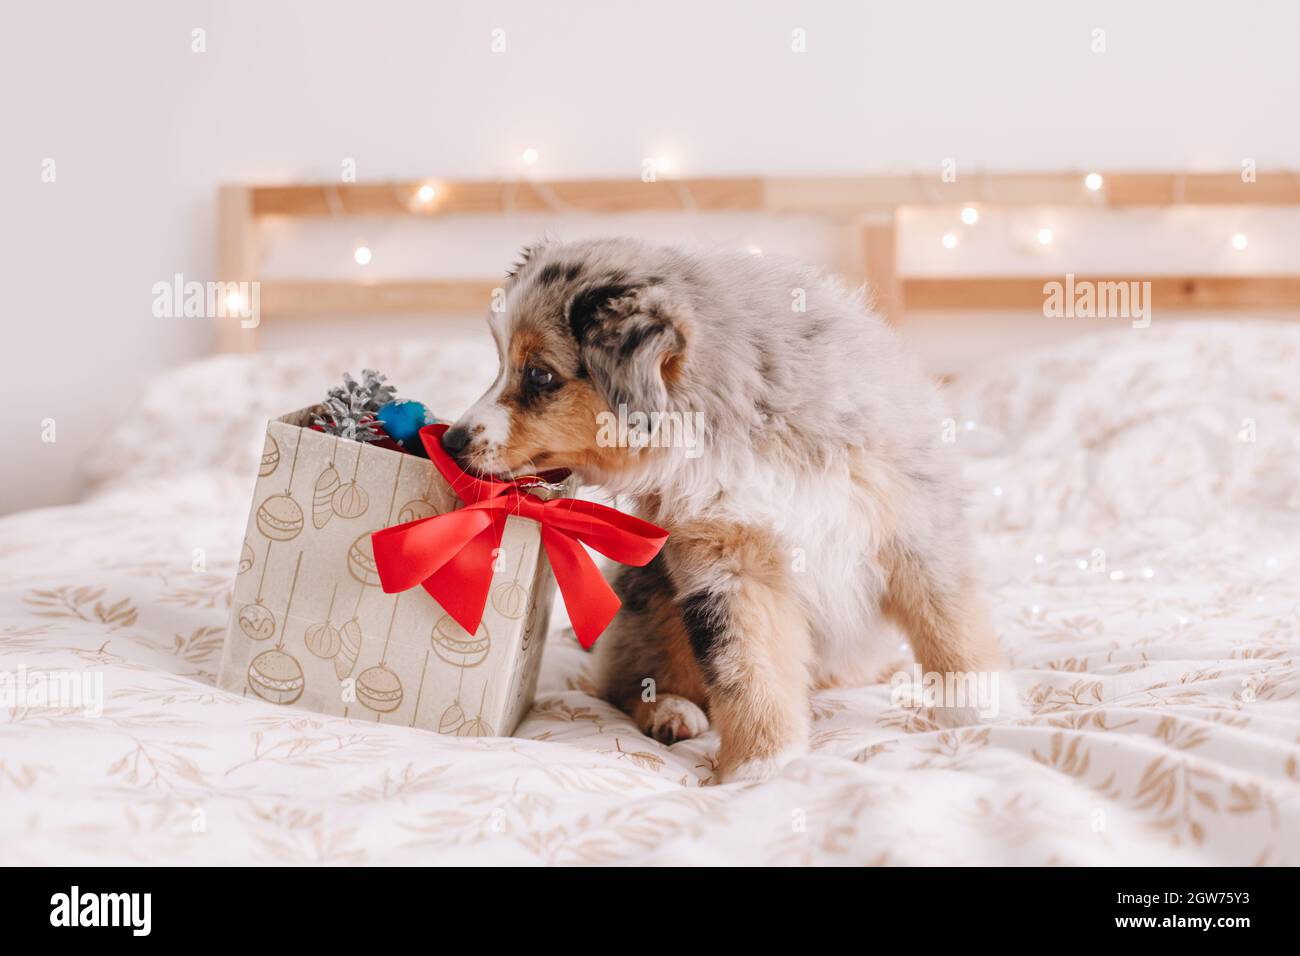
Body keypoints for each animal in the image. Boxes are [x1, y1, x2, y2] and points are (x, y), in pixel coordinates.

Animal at [441, 235, 1008, 780]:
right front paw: (765, 764)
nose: (450, 441)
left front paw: (983, 713)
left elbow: (950, 624)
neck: (743, 425)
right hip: (649, 600)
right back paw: (670, 712)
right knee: (622, 680)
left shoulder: (916, 519)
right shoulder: (728, 564)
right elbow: (746, 666)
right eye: (501, 366)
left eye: (539, 376)